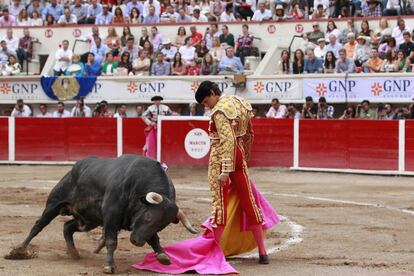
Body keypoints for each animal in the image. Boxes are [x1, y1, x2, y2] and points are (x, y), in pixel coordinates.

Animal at [4, 155, 199, 274]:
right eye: (149, 216)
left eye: (163, 225)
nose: (137, 242)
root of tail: (74, 169)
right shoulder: (111, 215)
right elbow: (111, 241)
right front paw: (109, 266)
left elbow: (154, 239)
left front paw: (162, 255)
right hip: (54, 203)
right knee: (39, 225)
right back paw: (19, 250)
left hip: (89, 220)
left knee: (67, 226)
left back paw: (74, 253)